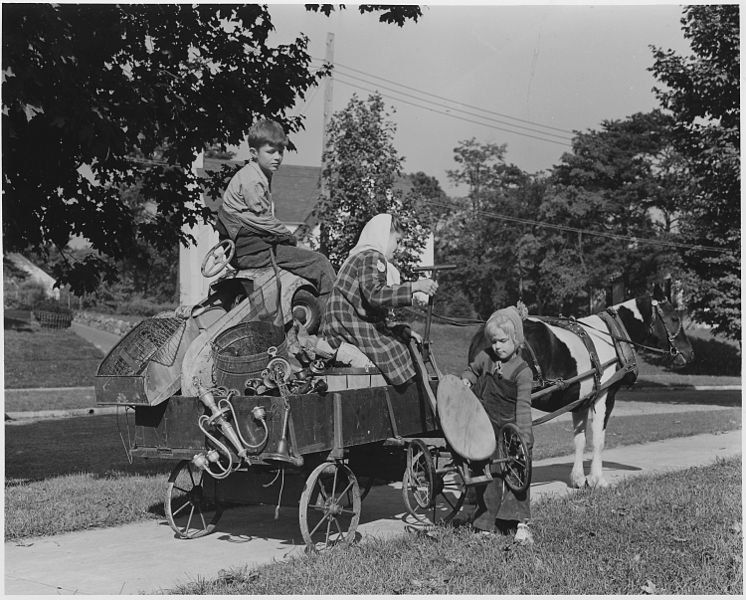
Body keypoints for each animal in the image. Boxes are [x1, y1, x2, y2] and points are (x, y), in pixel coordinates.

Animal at [468, 284, 696, 488]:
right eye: (675, 318)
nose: (690, 353)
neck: (612, 335)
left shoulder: (580, 401)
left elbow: (580, 439)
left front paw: (579, 478)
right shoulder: (604, 396)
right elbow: (598, 439)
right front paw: (597, 479)